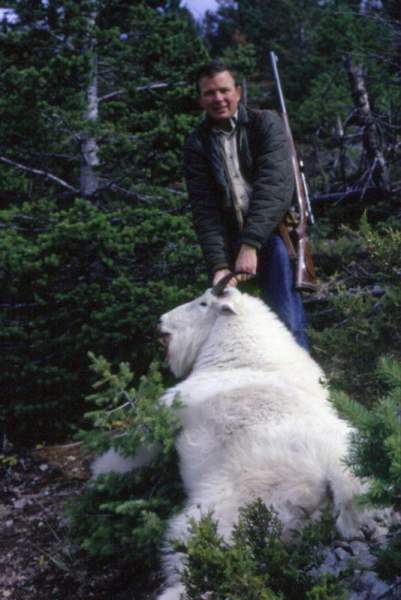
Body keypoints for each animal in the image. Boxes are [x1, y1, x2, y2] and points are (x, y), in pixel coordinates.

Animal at [93, 276, 376, 600]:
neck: (244, 359)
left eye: (203, 302)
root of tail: (336, 476)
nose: (160, 323)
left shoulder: (169, 410)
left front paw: (101, 471)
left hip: (233, 509)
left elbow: (138, 443)